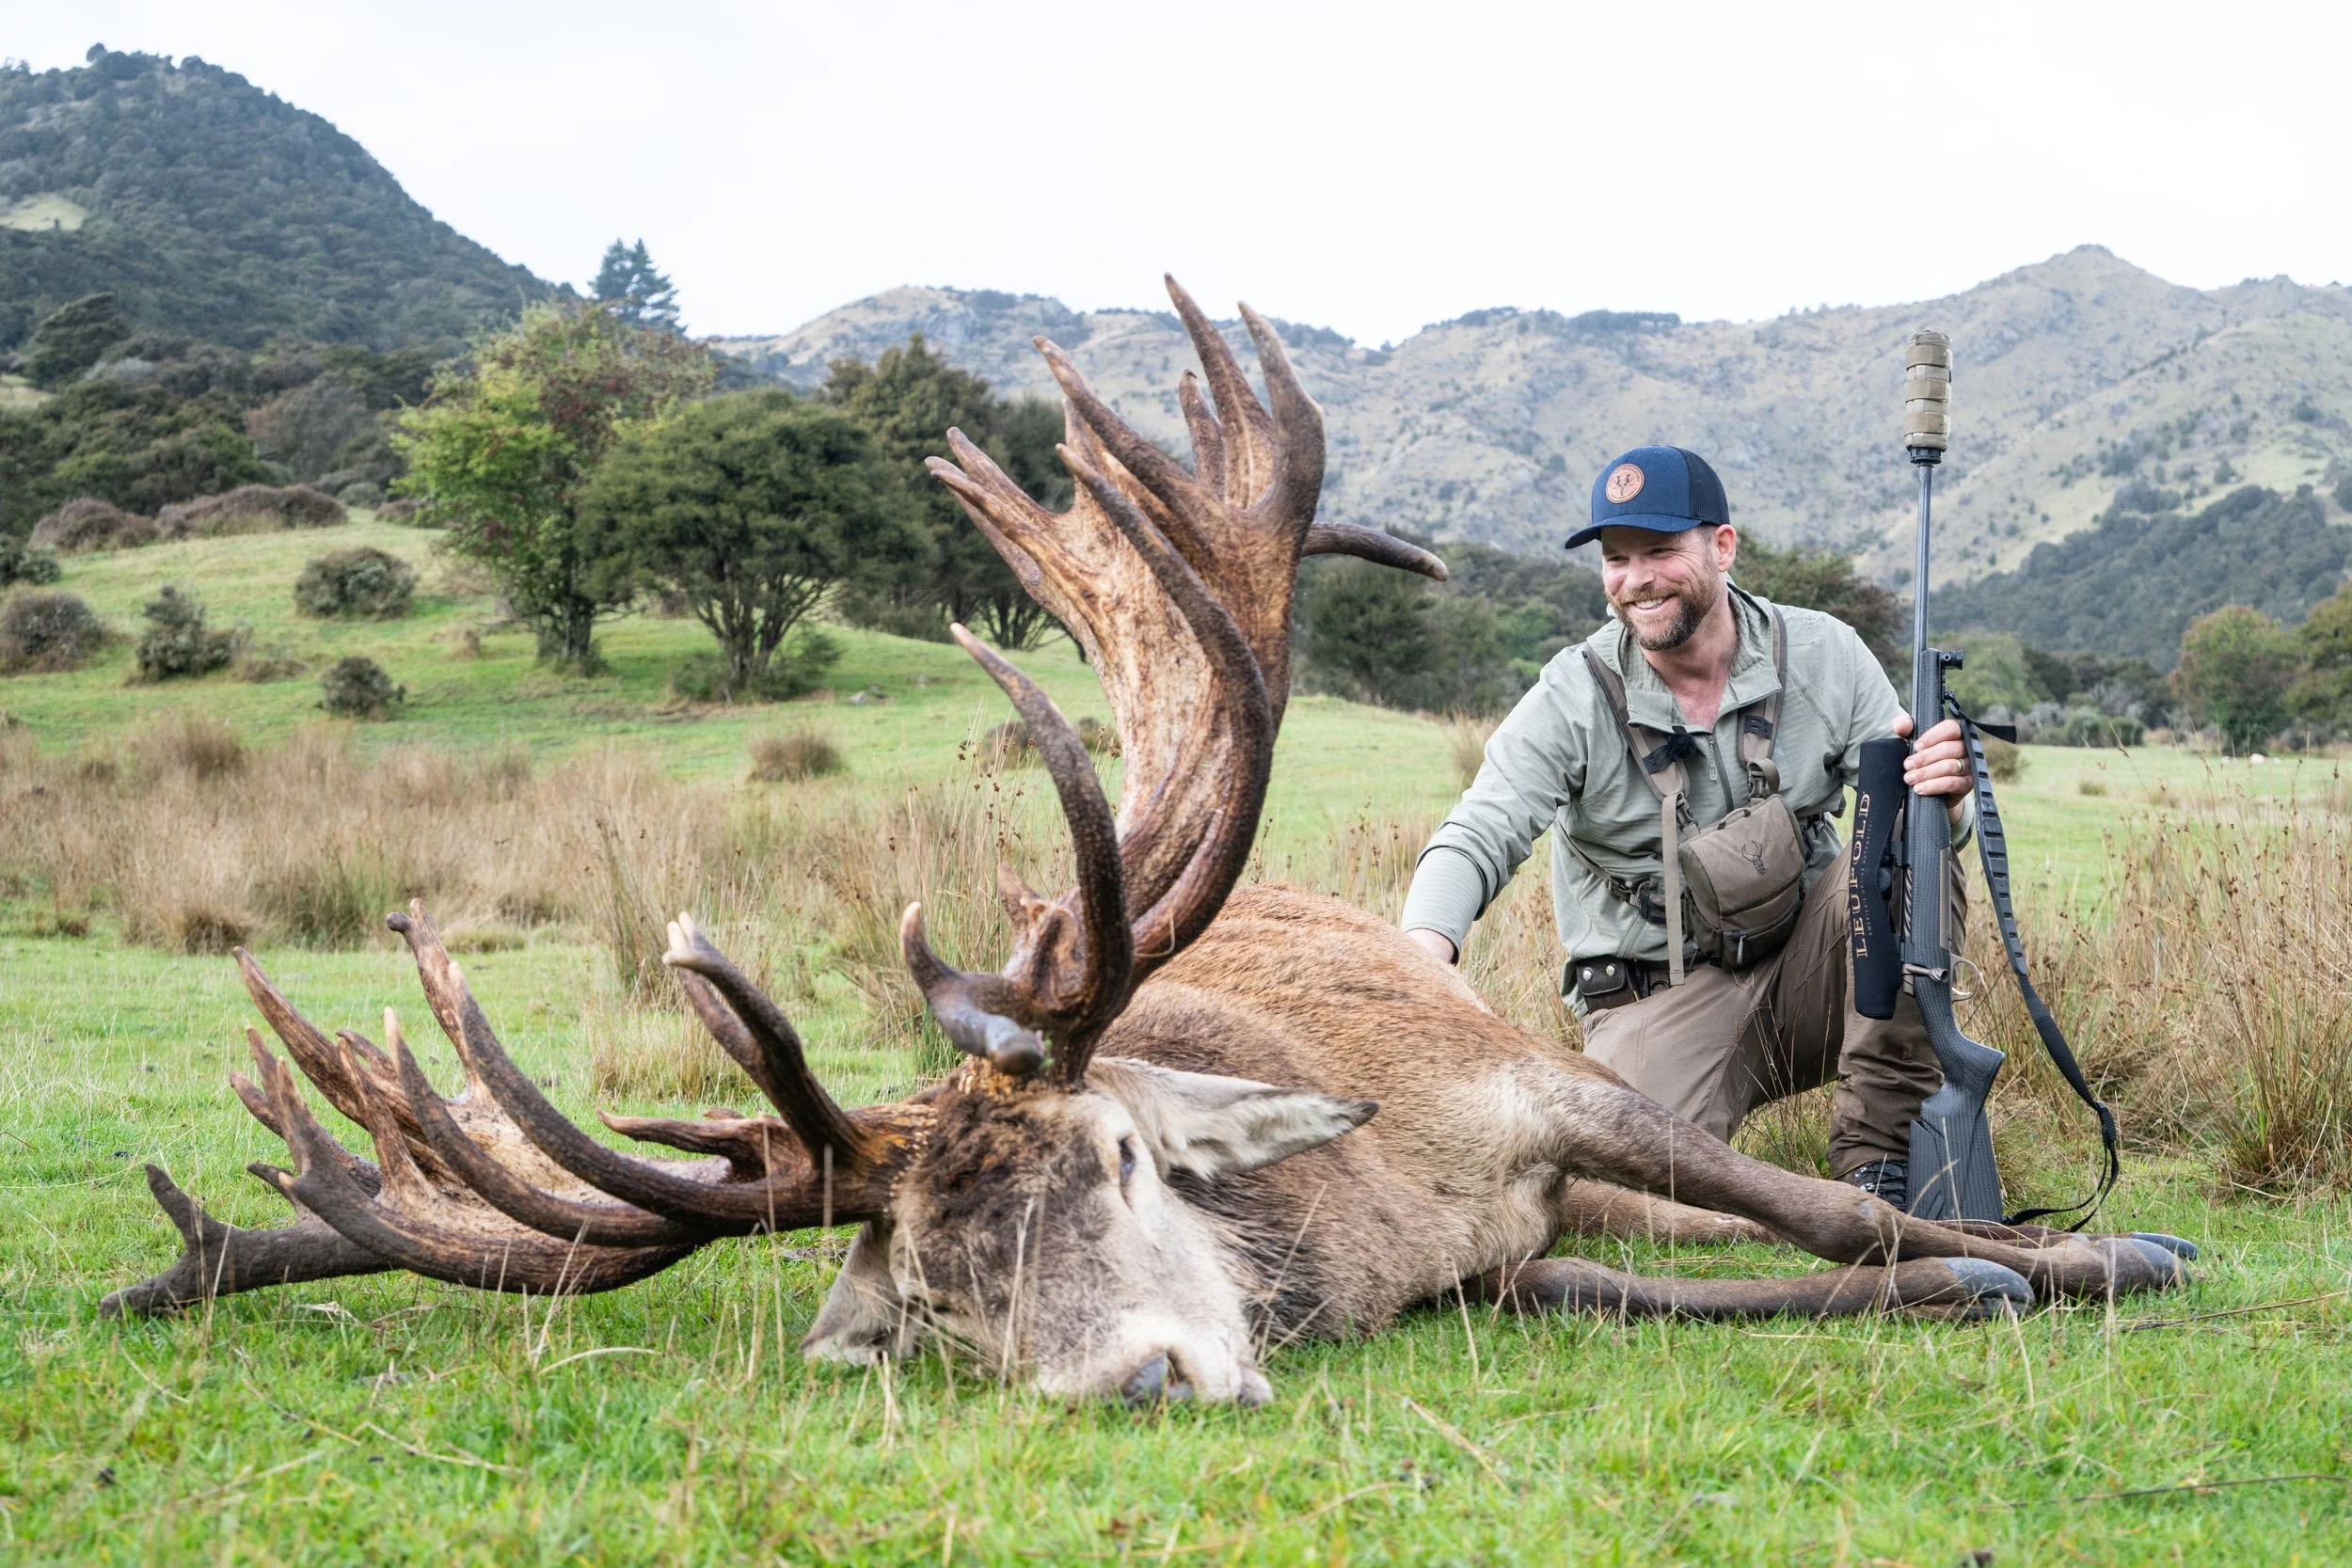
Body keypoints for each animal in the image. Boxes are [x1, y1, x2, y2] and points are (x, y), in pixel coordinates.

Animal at [104, 278, 2189, 1405]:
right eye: (936, 1295)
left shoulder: (1543, 1091)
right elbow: (1730, 1275)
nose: (1148, 1373)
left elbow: (1836, 1213)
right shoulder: (1508, 1259)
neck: (1370, 1217)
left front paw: (2102, 1248)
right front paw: (1986, 1272)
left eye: (1116, 1157)